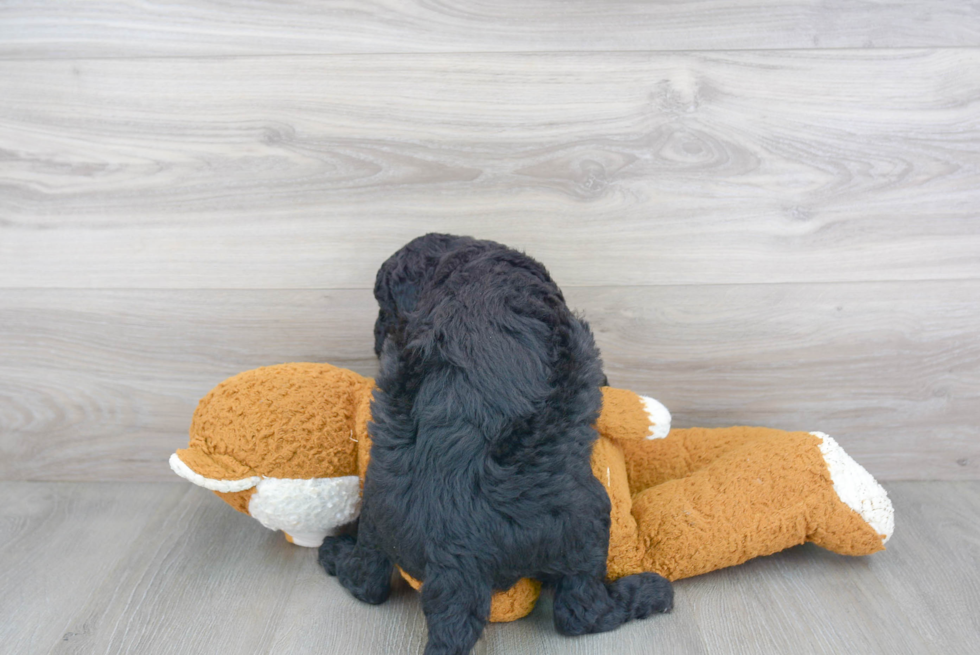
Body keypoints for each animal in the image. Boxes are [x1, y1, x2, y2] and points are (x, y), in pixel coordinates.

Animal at [324, 236, 672, 655]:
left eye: (383, 305)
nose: (377, 336)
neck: (467, 264)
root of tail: (454, 565)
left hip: (378, 514)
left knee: (368, 581)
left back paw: (334, 552)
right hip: (585, 518)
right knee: (579, 611)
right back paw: (650, 593)